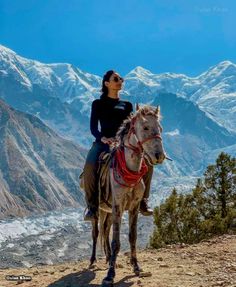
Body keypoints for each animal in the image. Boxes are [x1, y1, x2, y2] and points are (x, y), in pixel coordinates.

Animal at [80, 104, 165, 286]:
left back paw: (107, 258)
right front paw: (110, 275)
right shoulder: (118, 206)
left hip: (108, 211)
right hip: (98, 209)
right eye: (145, 127)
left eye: (160, 128)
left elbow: (132, 237)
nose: (159, 156)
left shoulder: (133, 207)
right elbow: (116, 241)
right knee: (96, 232)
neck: (130, 170)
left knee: (105, 230)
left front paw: (136, 266)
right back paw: (93, 261)